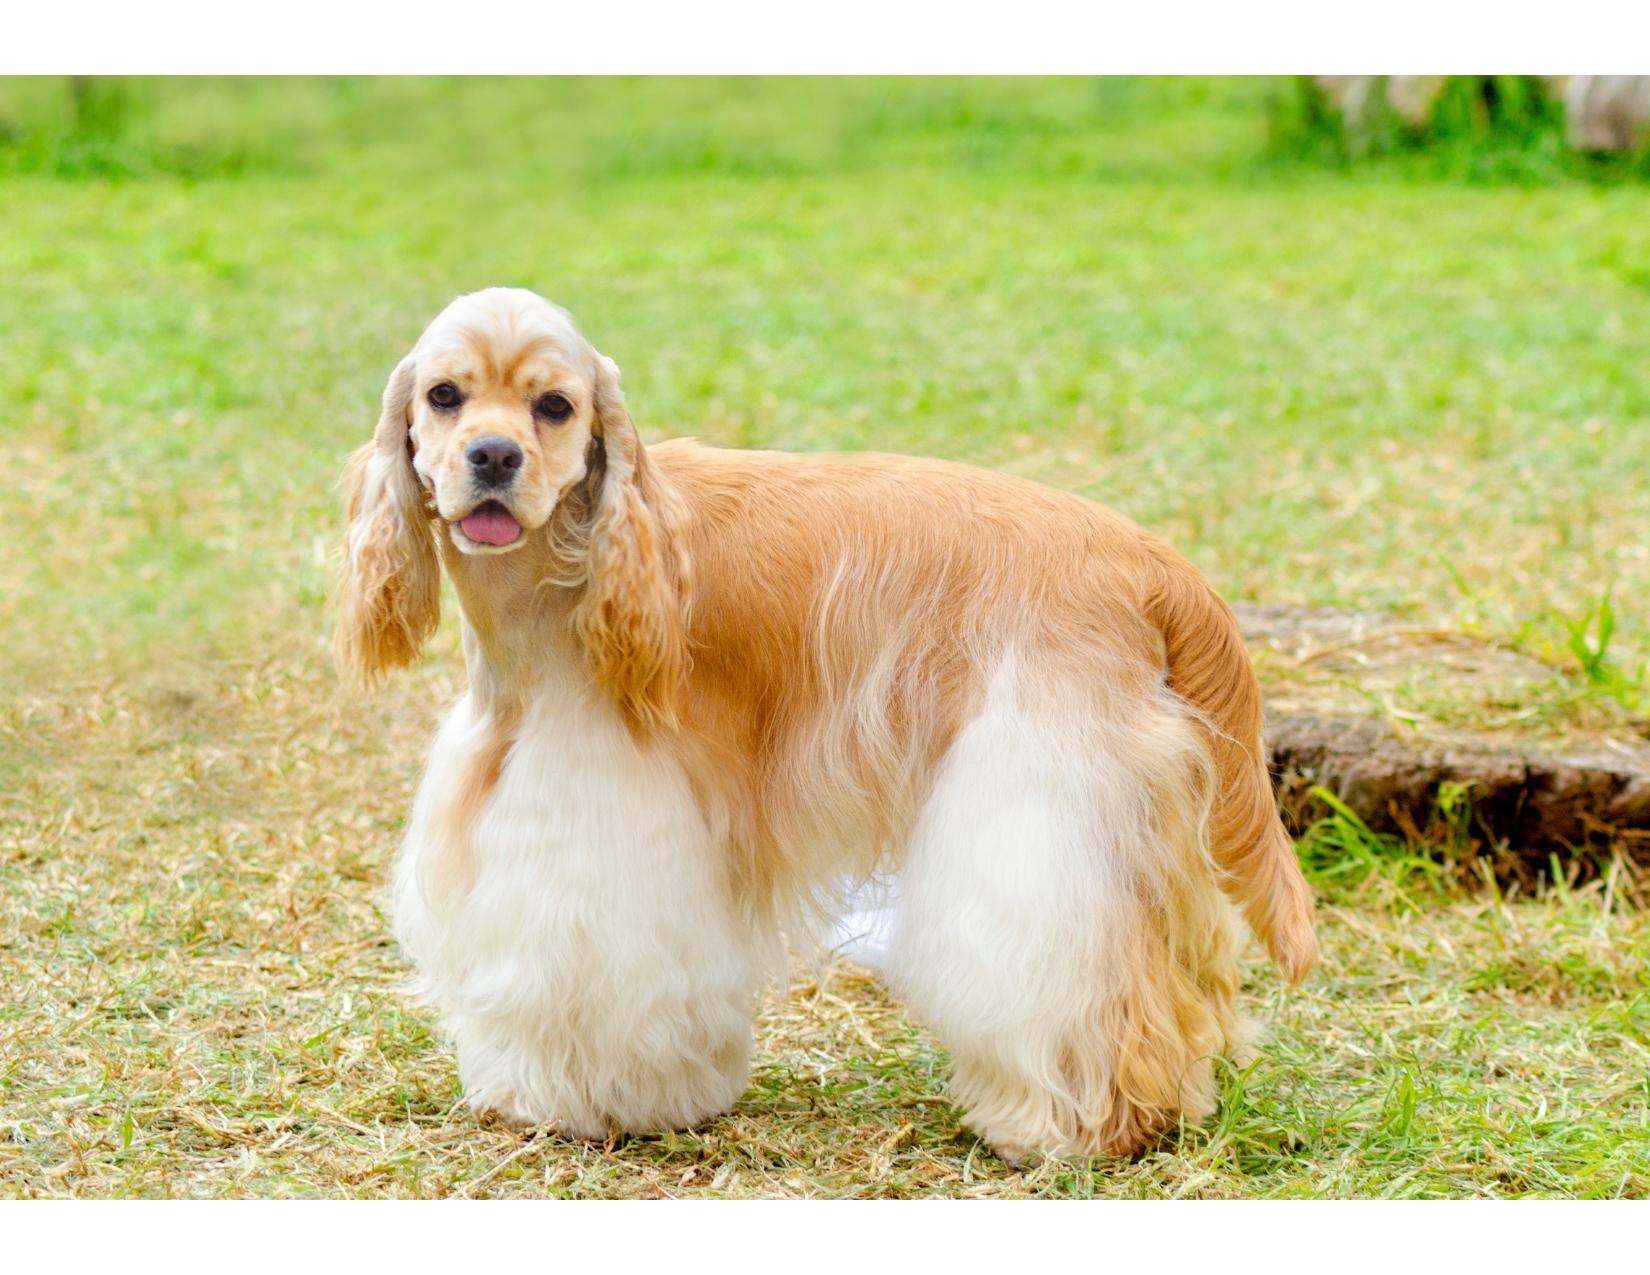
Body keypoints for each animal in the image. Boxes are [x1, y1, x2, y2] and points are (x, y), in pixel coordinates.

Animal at [334, 283, 1313, 1161]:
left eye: (555, 406)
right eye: (444, 395)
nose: (494, 456)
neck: (568, 570)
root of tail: (1147, 556)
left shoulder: (605, 817)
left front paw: (598, 1102)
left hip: (1043, 789)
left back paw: (1075, 1125)